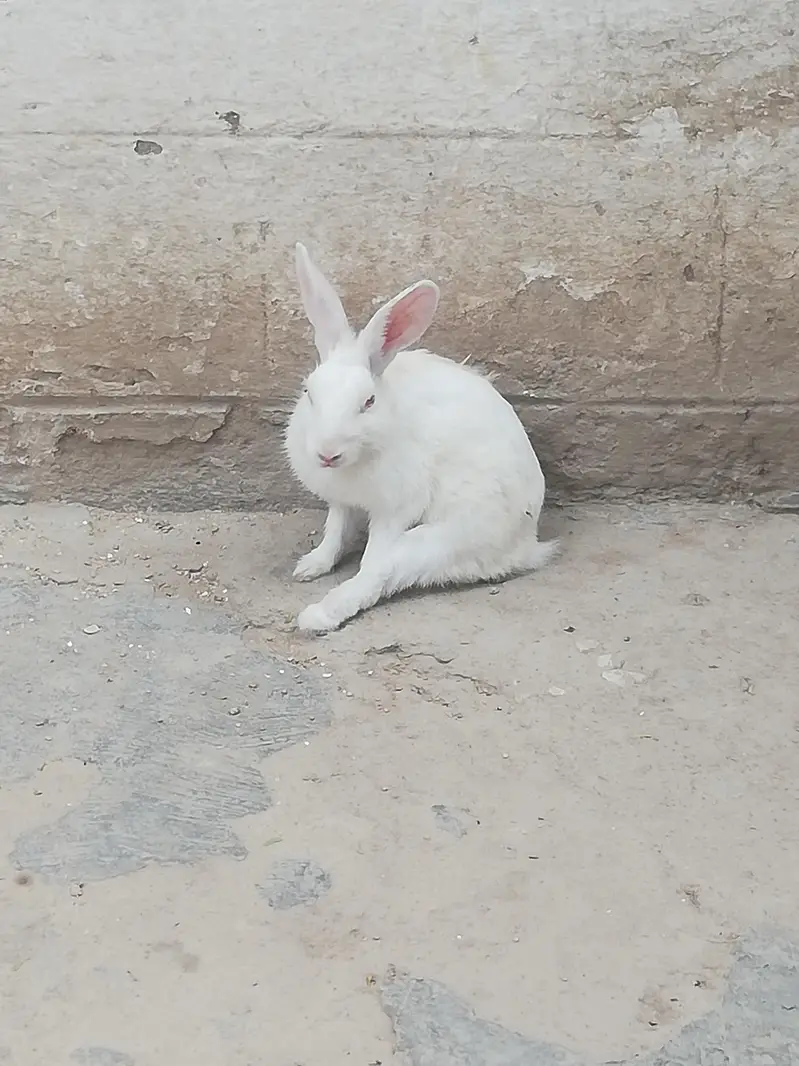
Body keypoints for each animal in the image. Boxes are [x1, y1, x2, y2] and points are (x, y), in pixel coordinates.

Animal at [284, 242, 558, 633]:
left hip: (442, 539)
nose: (327, 453)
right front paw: (312, 565)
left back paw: (318, 617)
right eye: (309, 392)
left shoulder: (395, 508)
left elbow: (373, 554)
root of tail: (526, 546)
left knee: (381, 574)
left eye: (369, 401)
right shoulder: (341, 502)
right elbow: (334, 532)